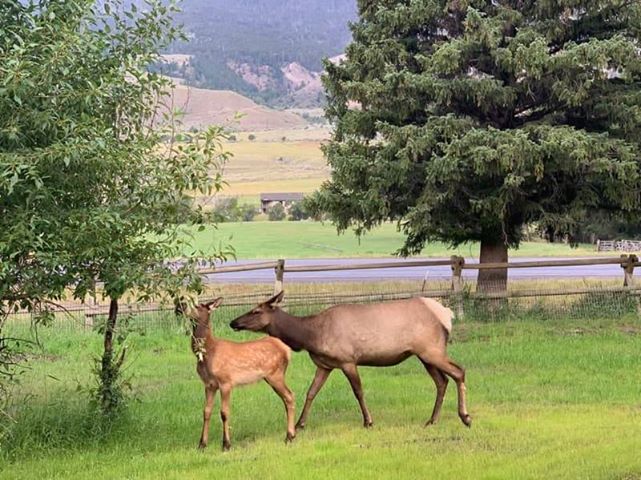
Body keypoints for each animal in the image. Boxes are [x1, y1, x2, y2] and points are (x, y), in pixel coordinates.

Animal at [188, 298, 296, 451]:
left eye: (197, 306)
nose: (179, 307)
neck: (208, 352)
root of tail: (286, 349)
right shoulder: (209, 384)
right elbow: (206, 411)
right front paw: (202, 444)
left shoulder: (226, 381)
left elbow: (224, 412)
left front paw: (226, 444)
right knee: (287, 398)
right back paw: (291, 435)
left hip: (276, 374)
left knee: (290, 396)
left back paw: (289, 436)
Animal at [230, 291, 471, 431]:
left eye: (256, 310)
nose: (233, 322)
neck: (311, 336)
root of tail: (447, 315)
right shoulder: (324, 365)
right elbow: (311, 392)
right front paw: (300, 423)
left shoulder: (347, 360)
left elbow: (358, 391)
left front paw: (368, 421)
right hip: (424, 354)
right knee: (442, 381)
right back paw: (432, 420)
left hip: (431, 349)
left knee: (459, 371)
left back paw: (465, 417)